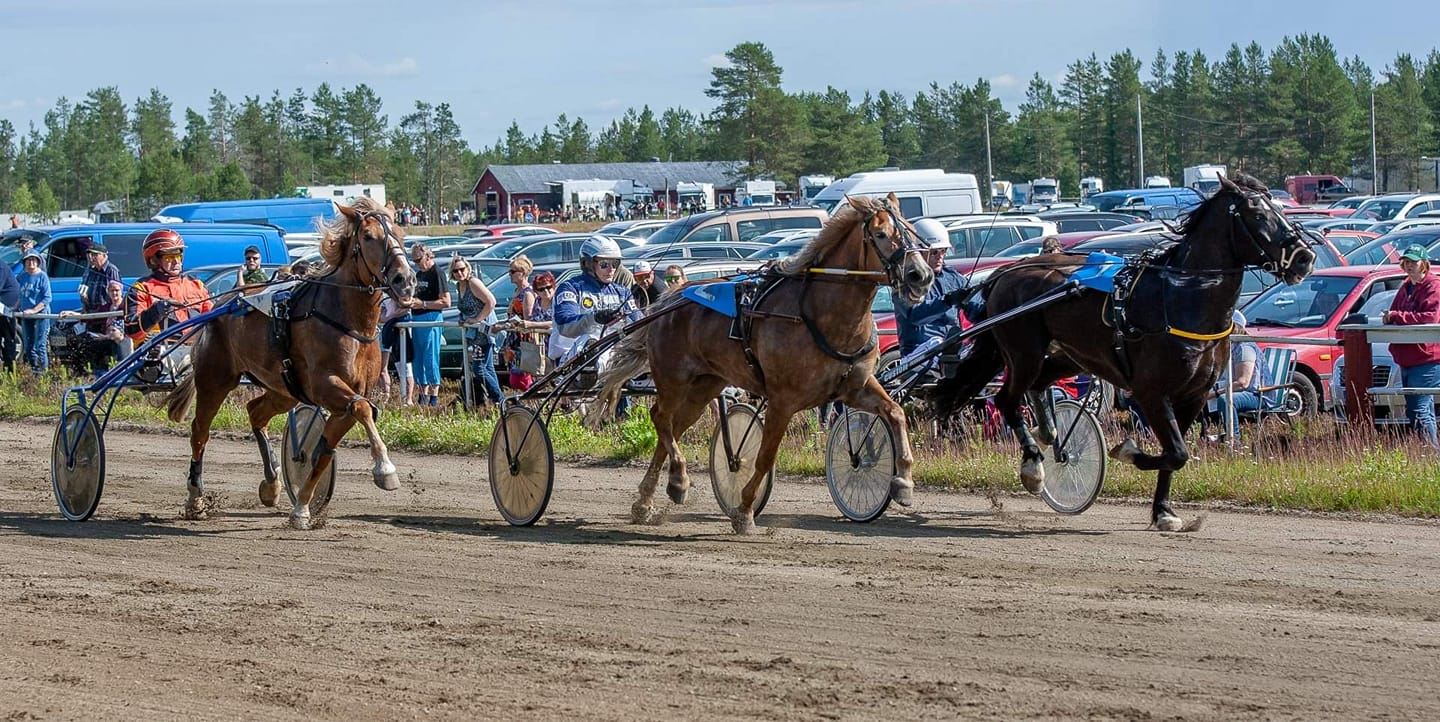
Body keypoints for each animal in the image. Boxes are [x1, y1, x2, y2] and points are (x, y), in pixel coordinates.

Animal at [167, 200, 420, 527]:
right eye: (367, 237)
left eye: (400, 233)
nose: (406, 279)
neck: (346, 320)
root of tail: (221, 304)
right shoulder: (325, 385)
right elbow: (363, 410)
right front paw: (385, 470)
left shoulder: (349, 395)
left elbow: (326, 447)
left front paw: (301, 506)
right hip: (215, 379)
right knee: (200, 431)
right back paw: (195, 497)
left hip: (283, 389)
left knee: (256, 412)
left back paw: (271, 483)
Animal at [593, 194, 938, 533]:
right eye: (880, 234)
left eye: (910, 230)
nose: (921, 276)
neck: (822, 316)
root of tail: (672, 298)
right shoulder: (783, 400)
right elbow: (765, 456)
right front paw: (744, 510)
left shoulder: (855, 387)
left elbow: (895, 413)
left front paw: (903, 481)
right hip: (673, 379)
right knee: (661, 417)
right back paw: (678, 481)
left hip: (704, 386)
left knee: (673, 428)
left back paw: (647, 500)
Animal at [933, 174, 1319, 530]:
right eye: (1257, 213)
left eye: (1280, 208)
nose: (1304, 257)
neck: (1179, 298)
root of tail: (1005, 273)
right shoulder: (1151, 392)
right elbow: (1176, 452)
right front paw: (1129, 450)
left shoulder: (1194, 395)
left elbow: (1175, 454)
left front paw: (1163, 511)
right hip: (1023, 352)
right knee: (1007, 399)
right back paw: (1033, 465)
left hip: (1071, 355)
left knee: (1038, 386)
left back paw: (1051, 435)